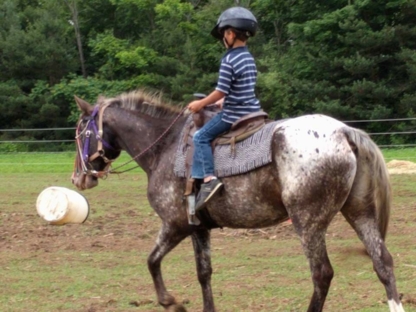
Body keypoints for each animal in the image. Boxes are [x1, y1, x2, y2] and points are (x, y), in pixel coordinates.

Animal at [70, 89, 404, 310]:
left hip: (308, 222)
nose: (78, 178)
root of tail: (345, 132)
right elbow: (203, 273)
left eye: (80, 132)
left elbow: (152, 260)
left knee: (322, 274)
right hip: (360, 213)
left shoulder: (175, 224)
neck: (165, 147)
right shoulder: (198, 228)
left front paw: (170, 301)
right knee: (383, 262)